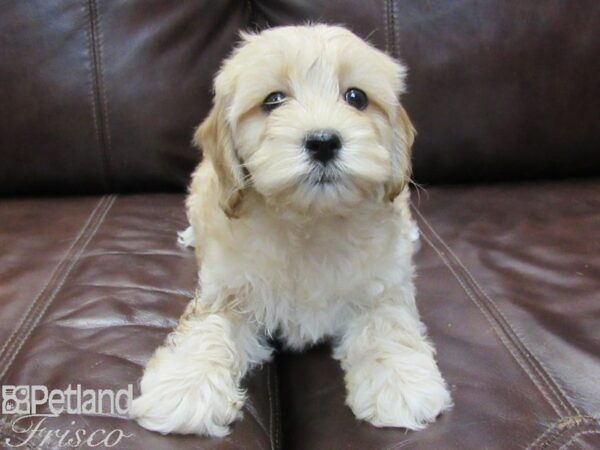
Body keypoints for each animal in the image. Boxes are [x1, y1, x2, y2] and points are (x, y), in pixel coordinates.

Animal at [130, 23, 450, 436]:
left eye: (356, 97)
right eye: (274, 100)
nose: (324, 141)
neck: (310, 220)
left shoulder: (382, 286)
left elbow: (388, 325)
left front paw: (399, 382)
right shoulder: (228, 290)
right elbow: (209, 329)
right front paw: (186, 387)